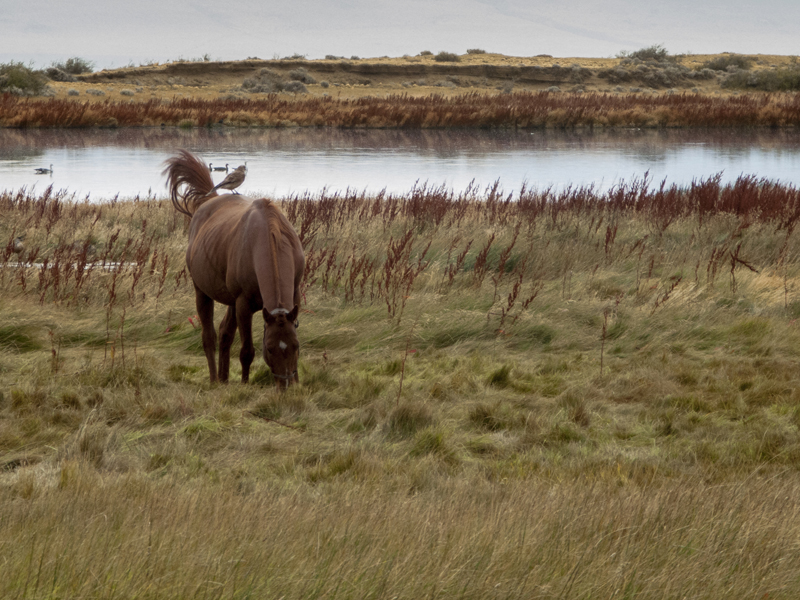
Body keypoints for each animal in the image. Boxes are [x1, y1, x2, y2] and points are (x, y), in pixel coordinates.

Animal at [162, 150, 304, 390]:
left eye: (296, 346)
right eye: (269, 348)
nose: (284, 386)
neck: (269, 235)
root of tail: (209, 201)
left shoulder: (294, 297)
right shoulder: (244, 305)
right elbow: (247, 351)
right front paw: (245, 385)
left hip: (230, 301)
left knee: (224, 333)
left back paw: (224, 377)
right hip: (203, 293)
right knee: (209, 336)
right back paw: (214, 379)